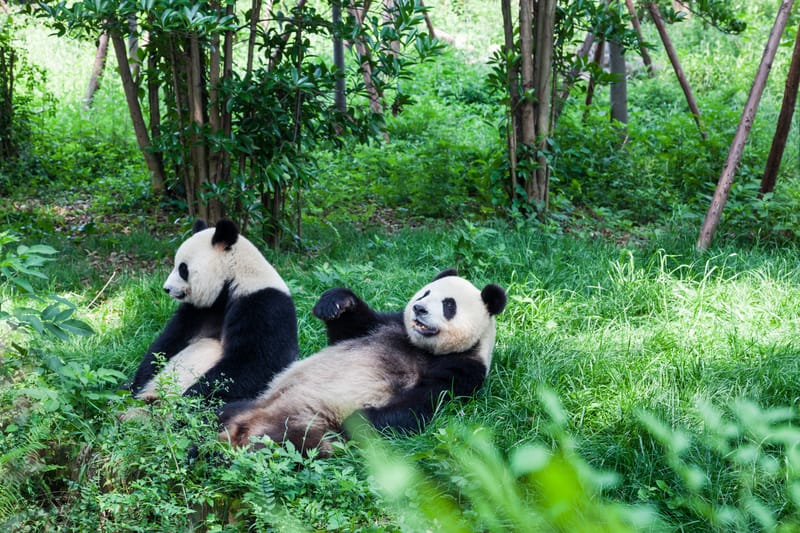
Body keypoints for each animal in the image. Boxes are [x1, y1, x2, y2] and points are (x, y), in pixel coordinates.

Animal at [130, 219, 299, 404]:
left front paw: (190, 399)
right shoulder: (200, 310)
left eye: (183, 269)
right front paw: (135, 384)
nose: (166, 289)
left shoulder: (264, 306)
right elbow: (166, 343)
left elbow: (256, 363)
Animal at [218, 269, 506, 456]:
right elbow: (350, 328)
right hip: (257, 401)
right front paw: (335, 303)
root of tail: (245, 427)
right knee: (224, 410)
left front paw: (357, 420)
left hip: (309, 427)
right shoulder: (387, 325)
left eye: (449, 305)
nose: (419, 309)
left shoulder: (462, 368)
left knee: (289, 443)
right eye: (425, 293)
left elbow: (421, 403)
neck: (424, 349)